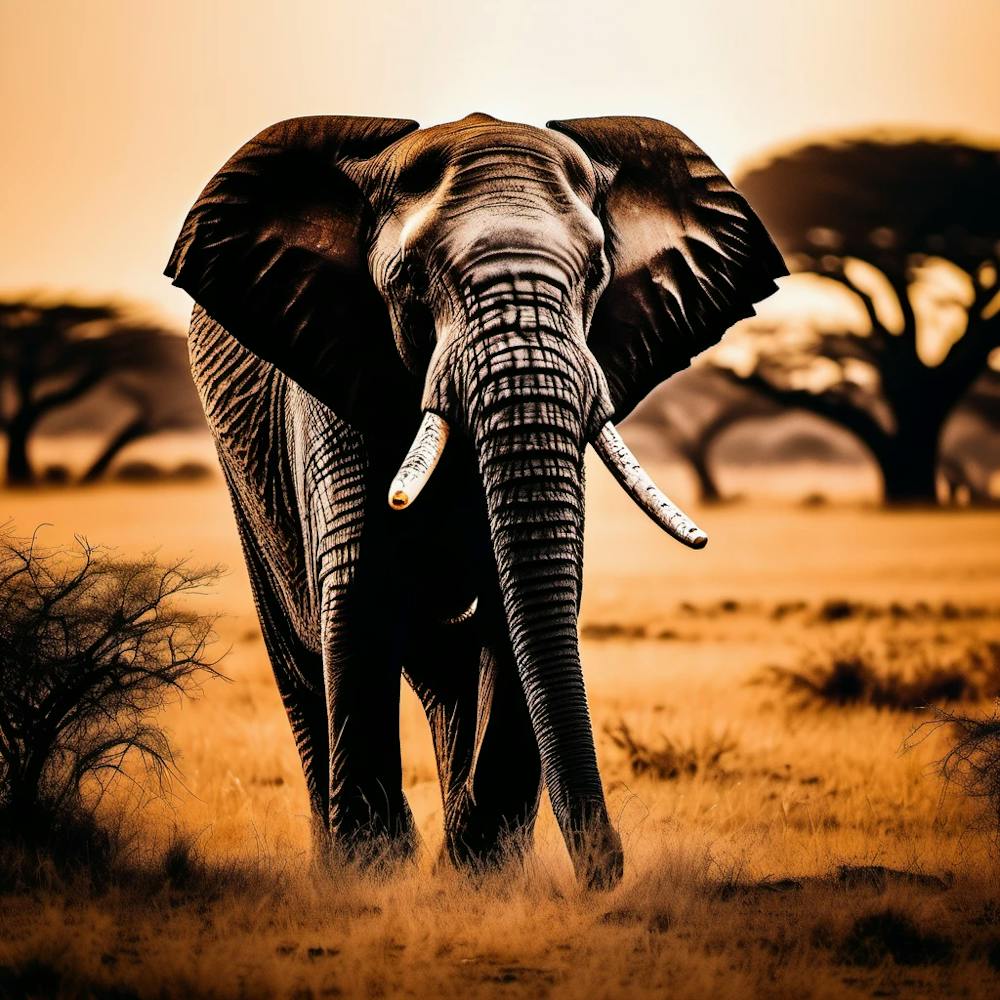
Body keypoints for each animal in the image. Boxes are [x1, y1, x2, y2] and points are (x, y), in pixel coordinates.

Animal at [166, 113, 786, 888]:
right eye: (407, 278)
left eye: (596, 274)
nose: (607, 867)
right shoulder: (334, 373)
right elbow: (362, 592)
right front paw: (376, 875)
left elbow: (524, 603)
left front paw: (478, 879)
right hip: (243, 479)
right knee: (301, 659)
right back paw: (340, 859)